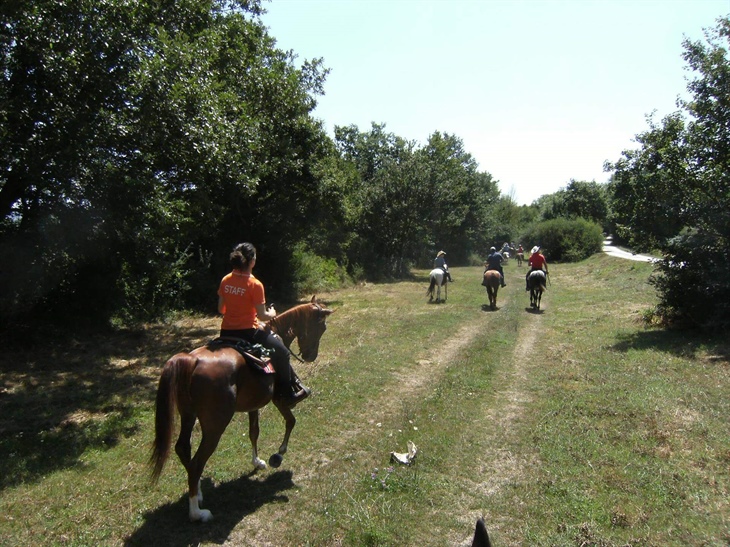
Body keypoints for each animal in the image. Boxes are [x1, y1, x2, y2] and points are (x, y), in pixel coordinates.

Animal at [150, 296, 332, 524]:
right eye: (322, 327)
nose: (310, 356)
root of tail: (193, 360)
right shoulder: (279, 399)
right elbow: (291, 421)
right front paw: (278, 454)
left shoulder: (253, 405)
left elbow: (254, 432)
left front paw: (258, 461)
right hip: (215, 425)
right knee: (197, 462)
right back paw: (197, 512)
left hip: (188, 415)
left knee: (183, 449)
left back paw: (198, 491)